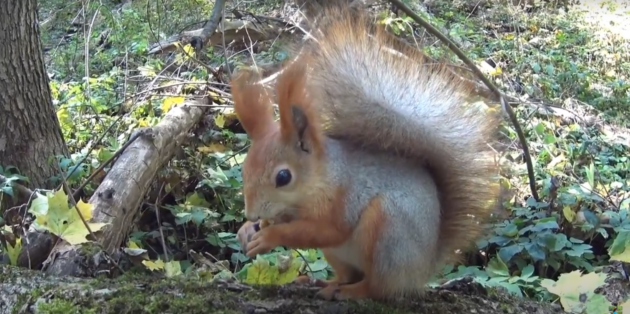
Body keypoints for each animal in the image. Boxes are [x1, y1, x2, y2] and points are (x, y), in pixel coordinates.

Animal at [230, 4, 502, 300]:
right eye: (244, 169)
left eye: (283, 177)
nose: (252, 215)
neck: (321, 178)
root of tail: (422, 270)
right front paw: (247, 231)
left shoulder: (344, 199)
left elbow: (326, 231)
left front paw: (270, 237)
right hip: (342, 255)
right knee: (348, 275)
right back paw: (322, 283)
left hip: (388, 231)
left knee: (378, 287)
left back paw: (352, 291)